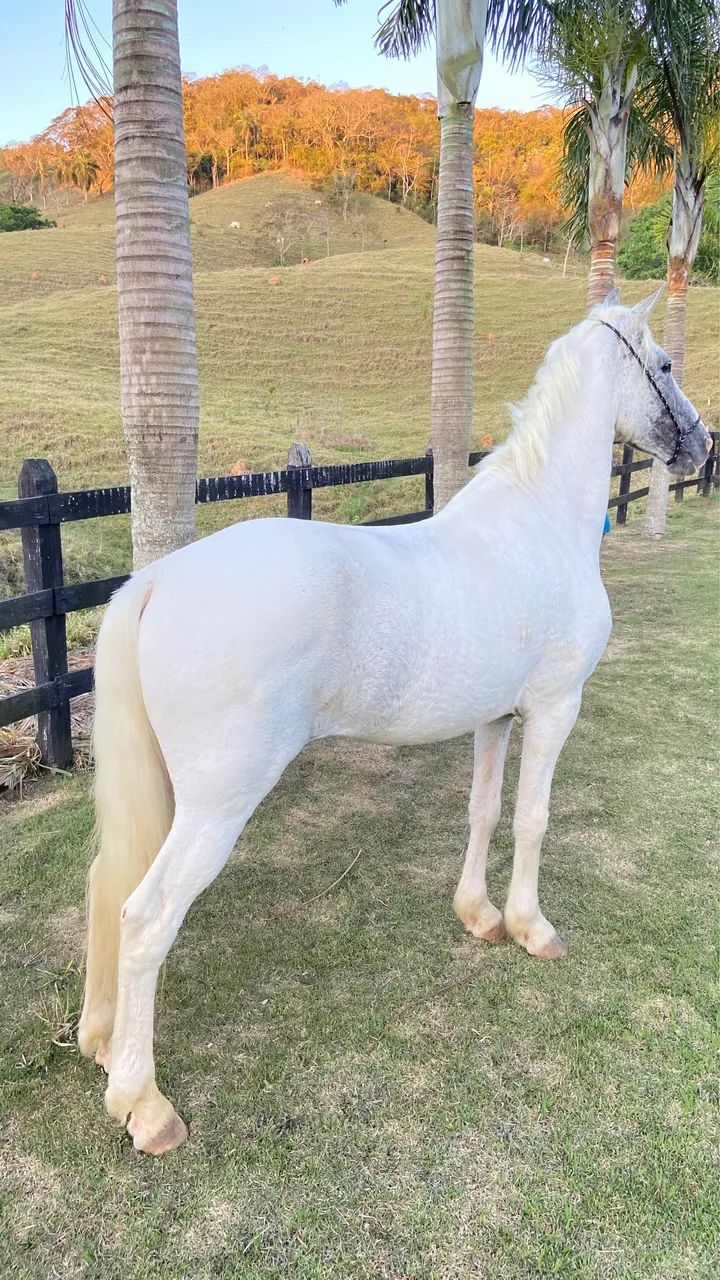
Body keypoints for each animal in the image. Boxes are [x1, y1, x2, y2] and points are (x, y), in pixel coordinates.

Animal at [77, 290, 711, 1154]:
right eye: (667, 364)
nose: (703, 445)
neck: (536, 525)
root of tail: (157, 581)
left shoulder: (495, 719)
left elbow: (484, 811)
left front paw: (480, 917)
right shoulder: (555, 709)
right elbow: (535, 818)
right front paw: (532, 927)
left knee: (103, 886)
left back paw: (103, 1042)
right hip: (216, 804)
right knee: (144, 918)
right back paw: (144, 1104)